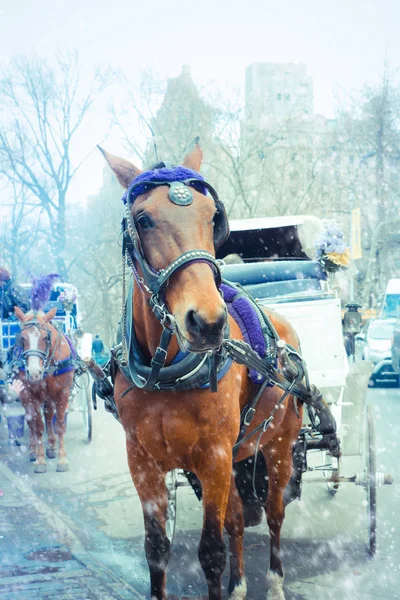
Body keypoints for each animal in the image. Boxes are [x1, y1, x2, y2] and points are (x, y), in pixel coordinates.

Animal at [13, 310, 74, 474]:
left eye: (45, 337)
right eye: (22, 338)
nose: (34, 373)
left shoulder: (62, 393)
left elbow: (59, 426)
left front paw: (62, 459)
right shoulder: (29, 394)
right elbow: (38, 427)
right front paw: (40, 461)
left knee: (48, 415)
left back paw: (52, 446)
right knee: (30, 421)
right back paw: (33, 451)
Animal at [101, 142, 304, 600]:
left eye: (213, 217)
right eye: (143, 219)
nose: (208, 323)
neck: (166, 374)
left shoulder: (213, 456)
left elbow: (211, 551)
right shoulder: (143, 462)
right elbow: (157, 548)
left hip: (279, 446)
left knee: (275, 513)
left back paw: (275, 581)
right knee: (237, 520)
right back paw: (240, 584)